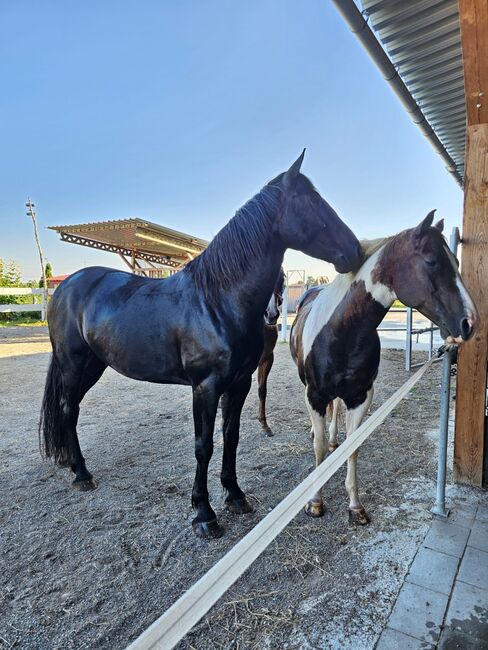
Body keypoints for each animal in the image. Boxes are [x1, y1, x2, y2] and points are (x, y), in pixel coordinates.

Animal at [39, 152, 362, 536]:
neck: (218, 300)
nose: (355, 251)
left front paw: (235, 496)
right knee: (68, 410)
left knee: (69, 410)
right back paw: (81, 474)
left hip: (93, 365)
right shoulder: (205, 387)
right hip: (73, 365)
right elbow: (203, 445)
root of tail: (65, 286)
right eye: (312, 201)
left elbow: (231, 437)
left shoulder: (238, 384)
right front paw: (204, 514)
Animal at [292, 213, 478, 528]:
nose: (470, 323)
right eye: (432, 261)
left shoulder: (361, 397)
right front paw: (315, 502)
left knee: (336, 411)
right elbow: (317, 447)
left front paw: (355, 507)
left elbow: (353, 447)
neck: (340, 333)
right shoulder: (314, 395)